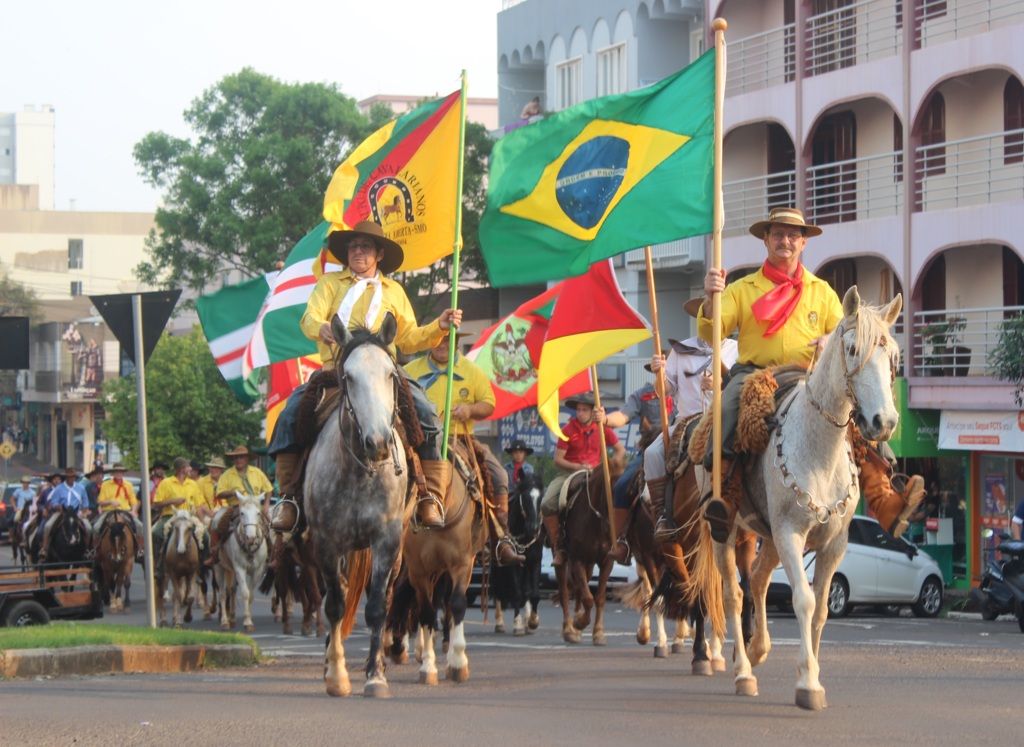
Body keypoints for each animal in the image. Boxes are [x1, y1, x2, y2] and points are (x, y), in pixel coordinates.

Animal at [216, 491, 268, 631]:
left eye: (258, 513)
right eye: (242, 513)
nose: (250, 537)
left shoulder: (258, 571)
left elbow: (251, 594)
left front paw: (248, 618)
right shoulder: (240, 568)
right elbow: (245, 593)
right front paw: (247, 622)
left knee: (232, 589)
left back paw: (232, 618)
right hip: (218, 567)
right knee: (222, 593)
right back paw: (225, 621)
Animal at [305, 311, 409, 696]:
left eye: (390, 374)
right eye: (348, 377)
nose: (378, 442)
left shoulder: (387, 540)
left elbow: (377, 606)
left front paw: (375, 675)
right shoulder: (325, 542)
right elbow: (335, 605)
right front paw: (336, 675)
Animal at [489, 469, 544, 631]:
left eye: (541, 496)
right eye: (524, 496)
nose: (533, 527)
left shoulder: (534, 561)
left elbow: (533, 594)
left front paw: (532, 621)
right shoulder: (512, 563)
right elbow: (517, 592)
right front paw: (518, 624)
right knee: (498, 587)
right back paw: (500, 622)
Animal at [692, 284, 901, 709]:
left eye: (893, 356)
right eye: (852, 348)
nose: (883, 422)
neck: (820, 451)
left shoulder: (834, 543)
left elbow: (820, 610)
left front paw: (813, 671)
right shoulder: (790, 533)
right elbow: (803, 601)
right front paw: (808, 683)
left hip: (768, 537)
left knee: (757, 580)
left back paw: (756, 650)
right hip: (728, 530)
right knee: (733, 593)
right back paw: (742, 672)